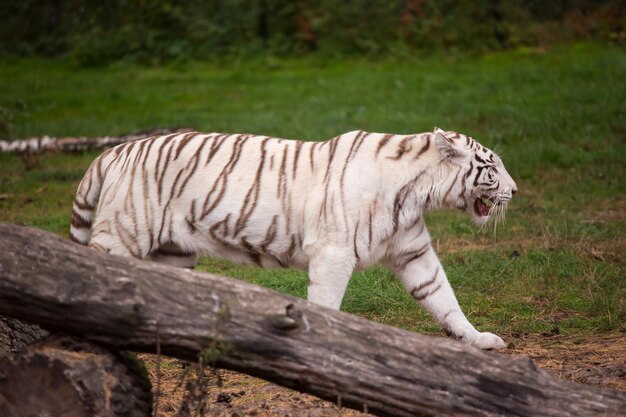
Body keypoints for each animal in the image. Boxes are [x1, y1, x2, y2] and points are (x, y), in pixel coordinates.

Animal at [70, 126, 516, 348]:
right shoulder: (334, 253)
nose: (515, 190)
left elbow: (444, 297)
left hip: (174, 252)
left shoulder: (414, 252)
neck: (416, 192)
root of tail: (112, 152)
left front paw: (477, 339)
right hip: (122, 236)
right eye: (492, 166)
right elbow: (327, 305)